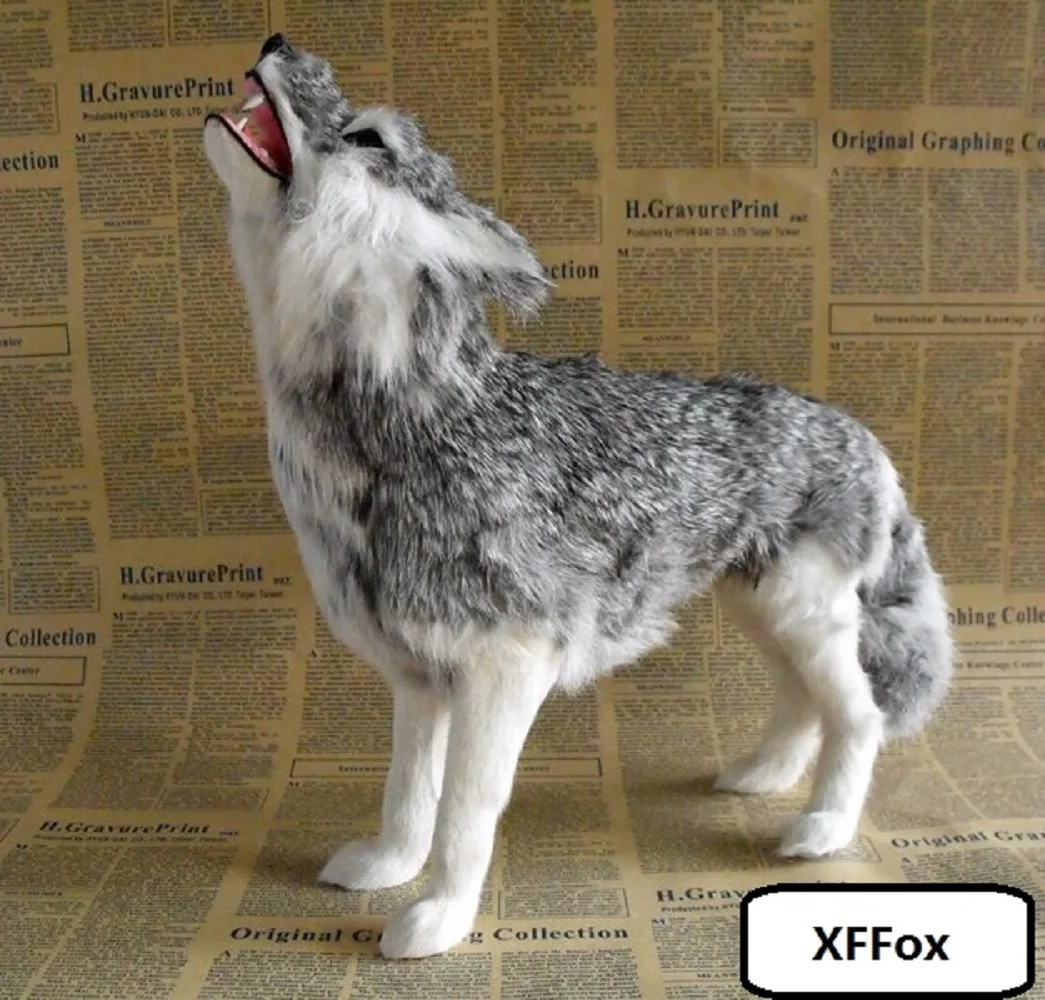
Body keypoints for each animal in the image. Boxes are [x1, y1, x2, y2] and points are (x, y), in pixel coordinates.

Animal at [202, 34, 953, 959]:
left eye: (368, 136)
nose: (276, 41)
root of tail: (864, 435)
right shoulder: (419, 676)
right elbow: (406, 794)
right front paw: (387, 865)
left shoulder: (506, 668)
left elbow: (464, 812)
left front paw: (439, 917)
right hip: (763, 613)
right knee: (804, 702)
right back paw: (760, 776)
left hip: (800, 615)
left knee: (858, 716)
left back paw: (821, 829)